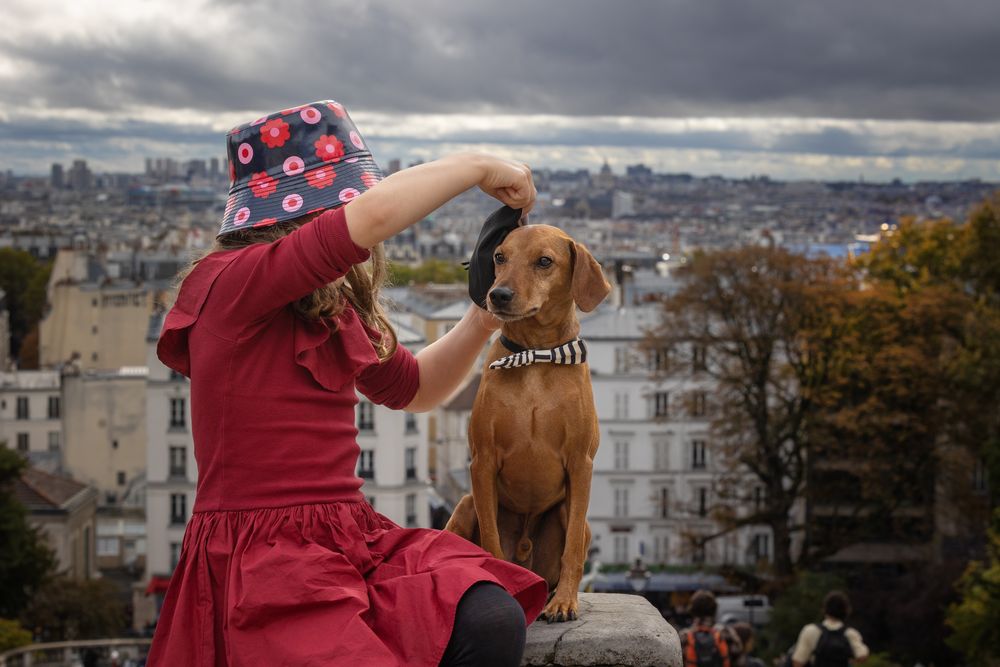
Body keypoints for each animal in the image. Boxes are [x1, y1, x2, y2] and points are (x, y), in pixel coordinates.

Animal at [446, 223, 608, 620]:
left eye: (544, 261)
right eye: (499, 256)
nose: (498, 294)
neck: (535, 356)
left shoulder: (581, 465)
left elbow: (572, 551)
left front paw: (565, 601)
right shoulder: (483, 462)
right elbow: (490, 540)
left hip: (573, 518)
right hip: (466, 505)